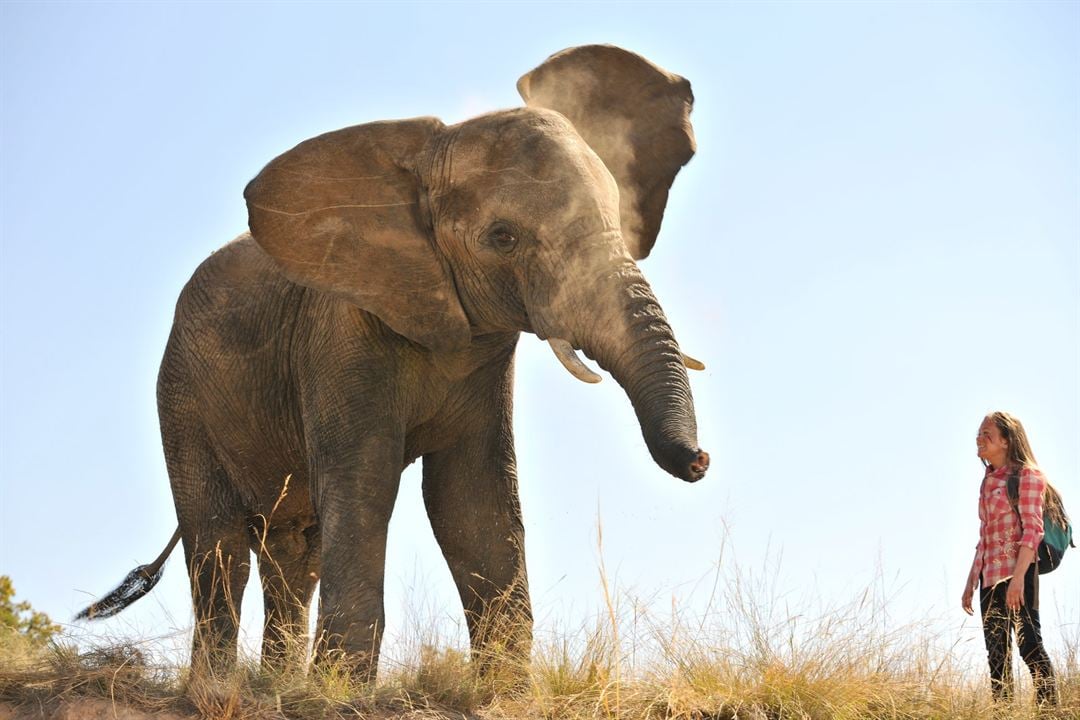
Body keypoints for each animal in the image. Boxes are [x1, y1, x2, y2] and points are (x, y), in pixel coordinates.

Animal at [79, 45, 712, 682]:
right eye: (503, 238)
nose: (699, 463)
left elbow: (472, 497)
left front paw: (501, 688)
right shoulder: (343, 329)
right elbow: (367, 480)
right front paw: (344, 690)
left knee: (295, 554)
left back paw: (276, 684)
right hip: (181, 394)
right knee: (219, 543)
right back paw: (217, 687)